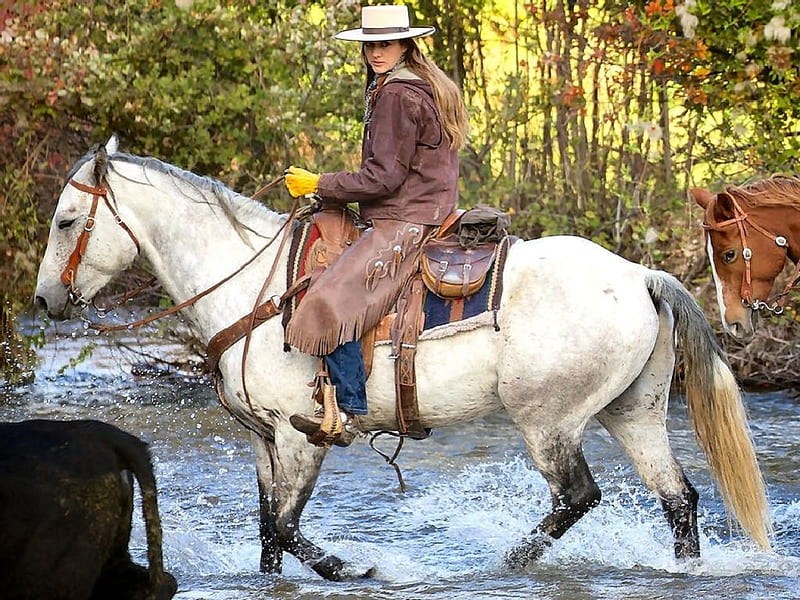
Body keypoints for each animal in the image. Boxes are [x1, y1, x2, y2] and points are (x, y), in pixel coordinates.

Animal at [34, 138, 772, 580]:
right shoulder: (262, 440)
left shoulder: (302, 437)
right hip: (633, 412)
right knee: (678, 499)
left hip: (548, 420)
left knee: (578, 496)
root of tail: (642, 273)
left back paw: (509, 561)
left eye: (67, 220)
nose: (45, 299)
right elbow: (268, 532)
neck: (254, 291)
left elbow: (287, 525)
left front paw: (351, 569)